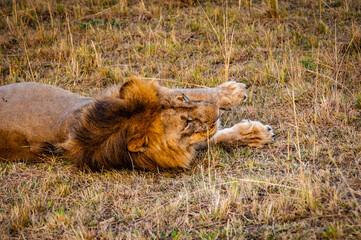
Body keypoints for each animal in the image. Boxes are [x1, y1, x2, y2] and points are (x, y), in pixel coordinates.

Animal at [0, 79, 274, 171]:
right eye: (185, 124)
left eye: (183, 100)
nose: (217, 113)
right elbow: (208, 137)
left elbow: (197, 90)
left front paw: (253, 133)